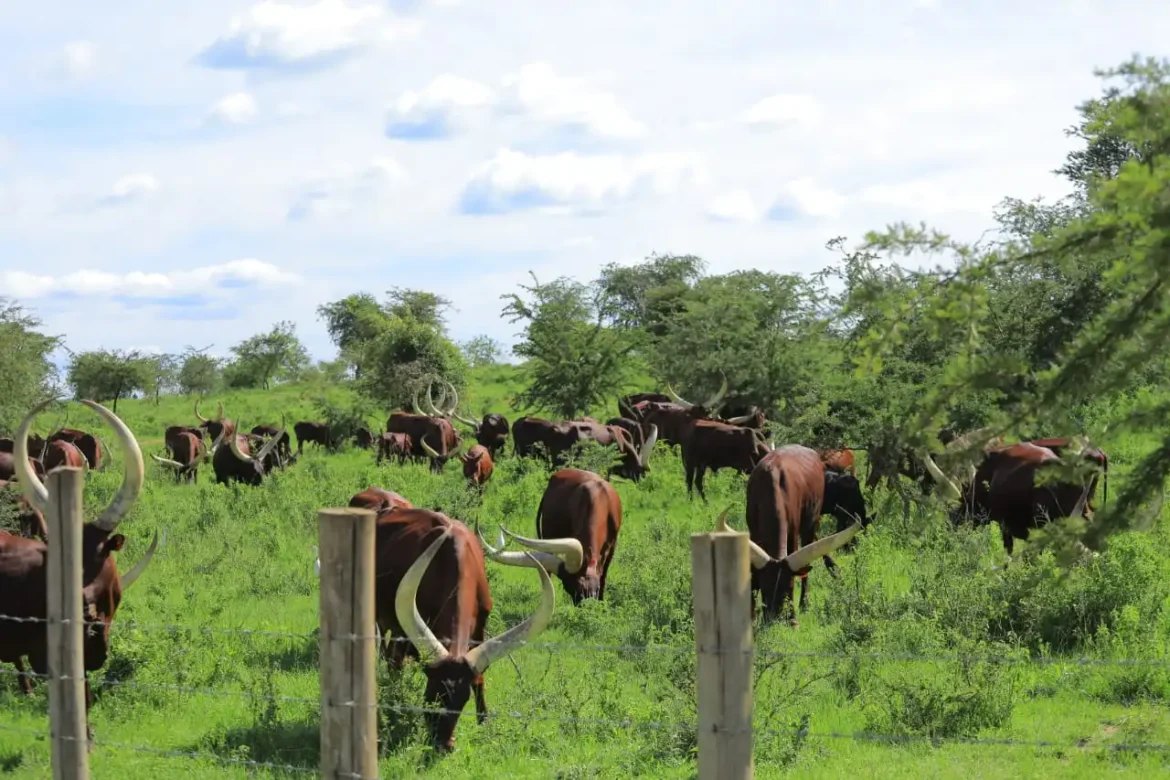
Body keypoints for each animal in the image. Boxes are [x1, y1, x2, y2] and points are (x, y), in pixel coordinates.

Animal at [375, 509, 555, 750]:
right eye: (432, 694)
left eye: (464, 699)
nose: (445, 745)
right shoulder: (403, 634)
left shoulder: (479, 630)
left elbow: (479, 679)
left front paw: (484, 722)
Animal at [482, 468, 622, 605]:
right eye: (569, 587)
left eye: (594, 588)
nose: (585, 606)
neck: (598, 499)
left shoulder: (612, 545)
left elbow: (603, 575)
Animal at [743, 445, 873, 623]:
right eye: (764, 586)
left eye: (790, 585)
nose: (775, 617)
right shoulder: (754, 532)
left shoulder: (793, 532)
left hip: (810, 523)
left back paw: (805, 603)